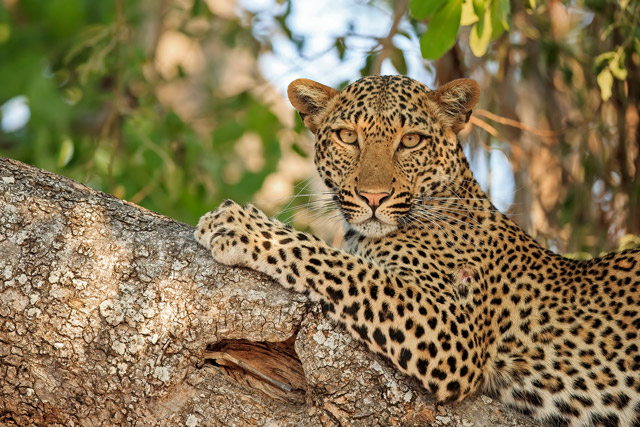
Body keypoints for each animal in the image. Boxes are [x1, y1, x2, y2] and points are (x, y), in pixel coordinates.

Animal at [195, 75, 640, 427]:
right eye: (347, 137)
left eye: (410, 141)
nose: (373, 197)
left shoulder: (454, 331)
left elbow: (340, 263)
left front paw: (239, 226)